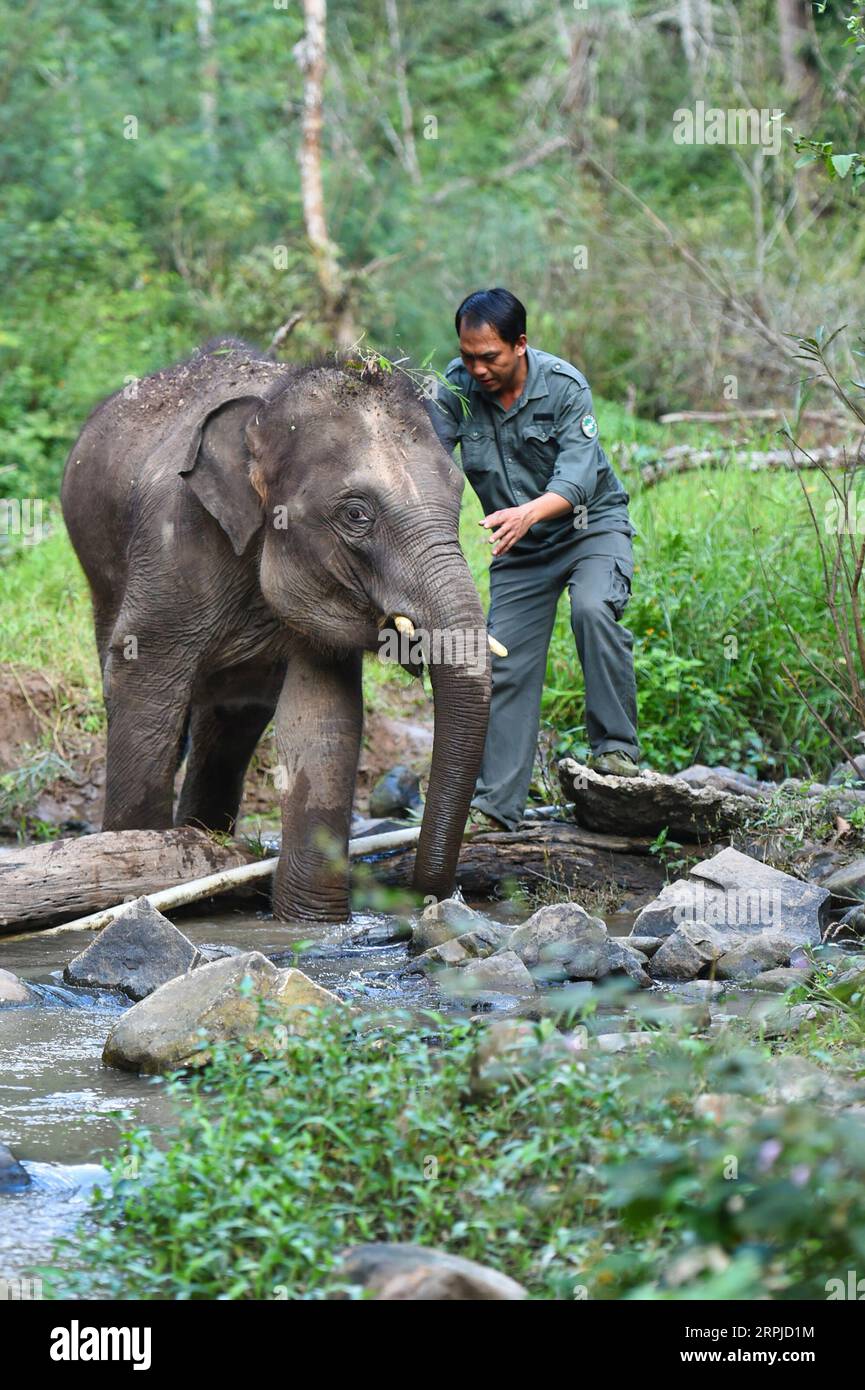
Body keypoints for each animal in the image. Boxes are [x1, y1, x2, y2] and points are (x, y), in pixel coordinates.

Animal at [61, 339, 495, 922]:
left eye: (458, 499)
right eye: (356, 514)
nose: (428, 898)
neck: (267, 409)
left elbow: (323, 721)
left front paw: (312, 924)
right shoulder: (171, 543)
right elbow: (142, 690)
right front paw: (135, 873)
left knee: (233, 719)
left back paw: (208, 843)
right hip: (98, 566)